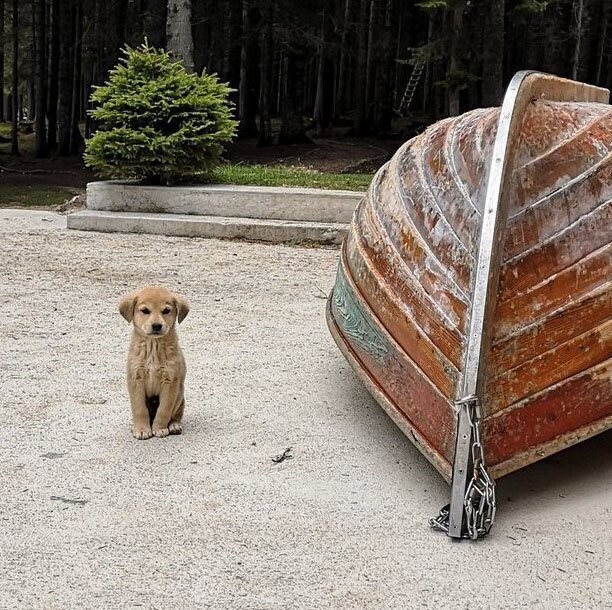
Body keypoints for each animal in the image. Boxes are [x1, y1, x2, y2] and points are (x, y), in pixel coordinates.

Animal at [117, 284, 189, 436]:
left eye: (166, 311)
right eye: (145, 311)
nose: (157, 325)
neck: (153, 348)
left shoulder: (170, 381)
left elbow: (164, 410)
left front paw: (159, 428)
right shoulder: (136, 379)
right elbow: (139, 409)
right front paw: (141, 430)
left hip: (180, 395)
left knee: (176, 415)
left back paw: (174, 426)